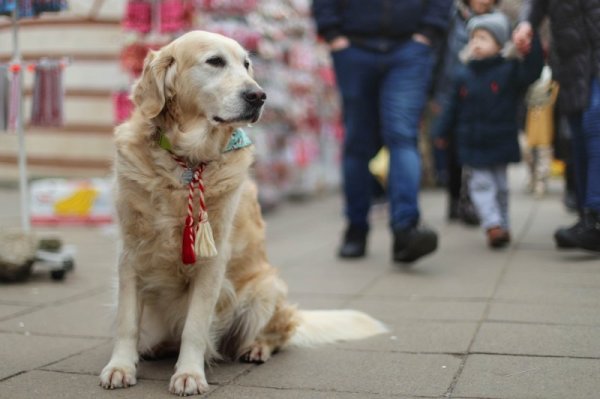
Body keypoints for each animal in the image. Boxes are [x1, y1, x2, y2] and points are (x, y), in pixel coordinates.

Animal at [100, 30, 386, 396]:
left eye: (247, 64)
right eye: (215, 61)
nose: (259, 95)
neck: (186, 162)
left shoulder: (212, 260)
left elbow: (195, 326)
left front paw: (189, 374)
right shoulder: (131, 254)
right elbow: (127, 321)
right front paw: (120, 367)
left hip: (267, 287)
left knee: (277, 333)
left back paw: (256, 347)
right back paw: (158, 347)